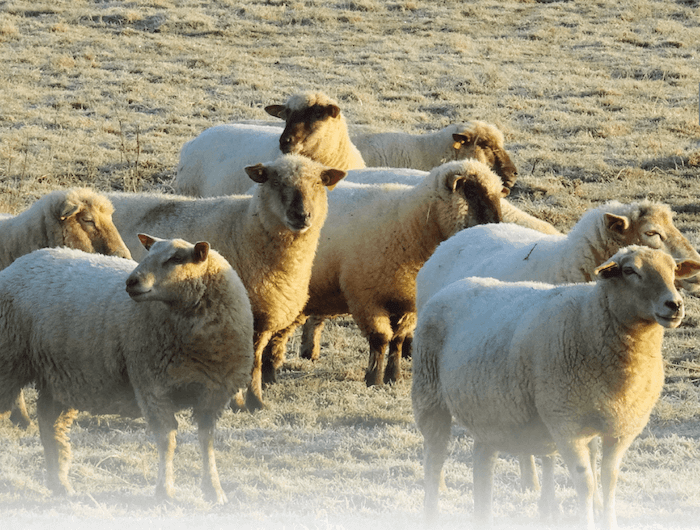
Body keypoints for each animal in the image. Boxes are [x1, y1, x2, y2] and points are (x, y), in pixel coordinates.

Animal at [0, 235, 254, 503]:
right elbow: (167, 441)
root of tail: (20, 262)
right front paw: (165, 491)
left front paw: (214, 491)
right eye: (148, 253)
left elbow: (207, 441)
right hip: (8, 363)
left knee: (50, 424)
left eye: (176, 258)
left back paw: (60, 485)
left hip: (60, 378)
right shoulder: (152, 386)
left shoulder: (213, 394)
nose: (132, 281)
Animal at [108, 154, 345, 411]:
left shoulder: (258, 320)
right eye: (275, 182)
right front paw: (249, 402)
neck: (245, 228)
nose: (301, 215)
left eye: (318, 184)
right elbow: (252, 366)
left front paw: (249, 402)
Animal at [263, 159, 508, 387]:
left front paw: (394, 376)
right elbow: (380, 339)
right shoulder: (366, 297)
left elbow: (398, 340)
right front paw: (374, 379)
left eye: (497, 195)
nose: (497, 224)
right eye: (471, 192)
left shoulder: (408, 302)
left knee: (278, 333)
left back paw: (270, 374)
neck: (409, 225)